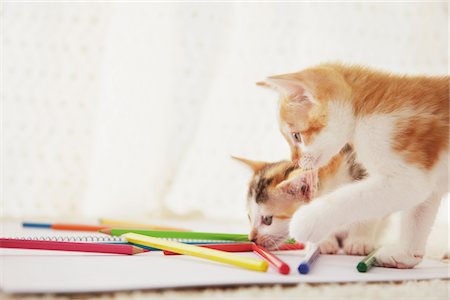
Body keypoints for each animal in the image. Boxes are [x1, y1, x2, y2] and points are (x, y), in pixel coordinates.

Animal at [264, 62, 446, 268]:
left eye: (296, 136)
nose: (295, 160)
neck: (363, 110)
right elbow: (419, 212)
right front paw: (405, 254)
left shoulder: (407, 173)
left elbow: (351, 197)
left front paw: (306, 220)